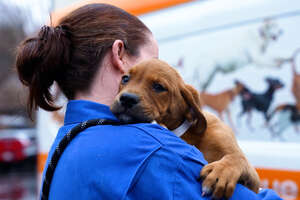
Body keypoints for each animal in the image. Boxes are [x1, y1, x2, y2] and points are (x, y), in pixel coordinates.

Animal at [110, 58, 260, 198]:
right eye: (125, 78)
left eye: (158, 87)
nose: (127, 99)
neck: (186, 134)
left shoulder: (254, 182)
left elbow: (236, 157)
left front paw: (222, 171)